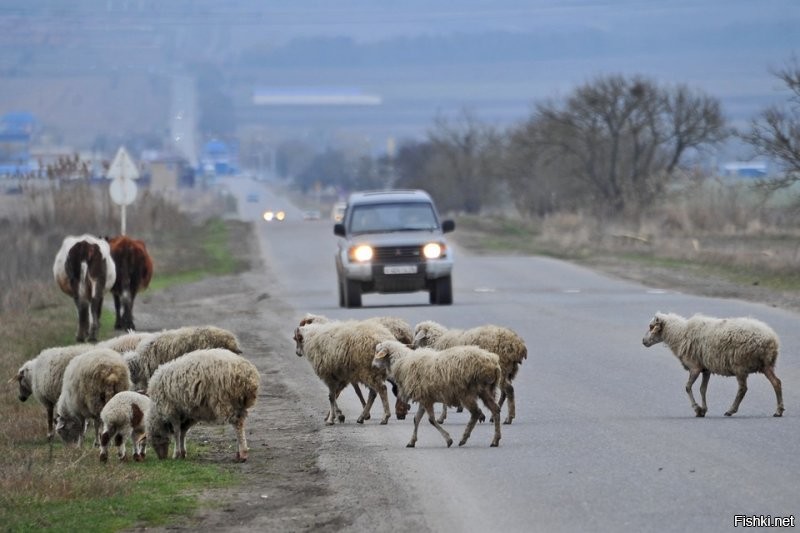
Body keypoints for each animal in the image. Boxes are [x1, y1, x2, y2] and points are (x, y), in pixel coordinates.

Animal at [640, 310, 784, 418]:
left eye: (651, 327)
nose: (643, 341)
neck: (679, 334)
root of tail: (772, 339)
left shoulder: (695, 367)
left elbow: (688, 387)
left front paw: (697, 409)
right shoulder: (706, 369)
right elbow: (703, 389)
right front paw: (703, 410)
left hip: (740, 366)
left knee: (743, 389)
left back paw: (731, 410)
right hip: (765, 365)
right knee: (776, 383)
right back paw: (779, 411)